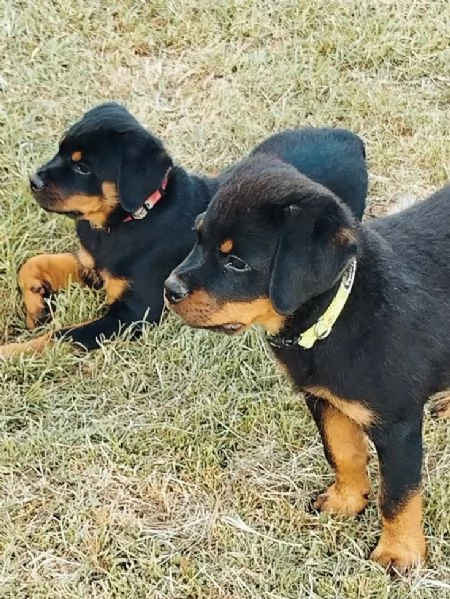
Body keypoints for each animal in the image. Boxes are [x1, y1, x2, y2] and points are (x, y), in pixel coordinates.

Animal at [0, 102, 368, 356]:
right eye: (60, 150)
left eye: (82, 167)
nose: (33, 180)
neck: (130, 220)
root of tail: (352, 140)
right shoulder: (95, 265)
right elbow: (32, 264)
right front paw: (36, 307)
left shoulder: (133, 313)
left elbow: (61, 335)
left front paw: (12, 352)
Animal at [164, 152, 450, 568]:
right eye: (197, 236)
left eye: (237, 262)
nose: (169, 289)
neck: (336, 313)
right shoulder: (321, 399)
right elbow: (342, 453)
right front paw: (347, 501)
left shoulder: (397, 425)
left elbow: (398, 494)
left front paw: (399, 553)